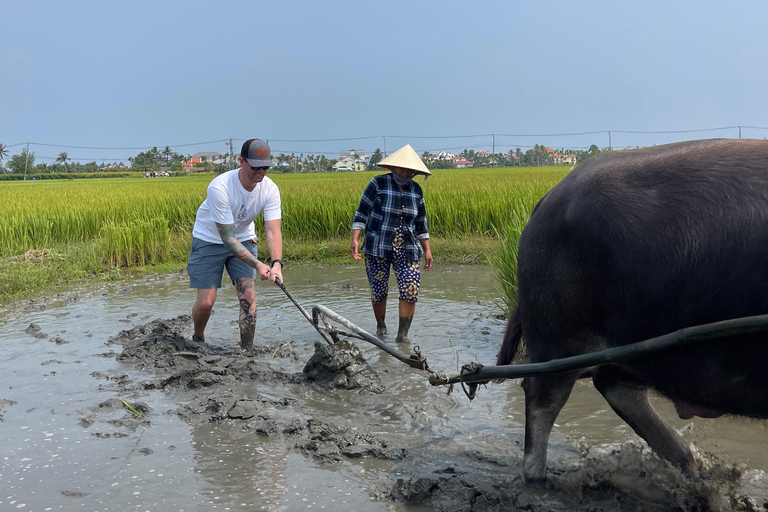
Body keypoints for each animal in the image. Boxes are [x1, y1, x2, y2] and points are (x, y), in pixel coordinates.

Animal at [498, 139, 768, 484]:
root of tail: (547, 199)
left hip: (633, 344)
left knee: (615, 387)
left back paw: (693, 467)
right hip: (557, 333)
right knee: (543, 395)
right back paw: (537, 475)